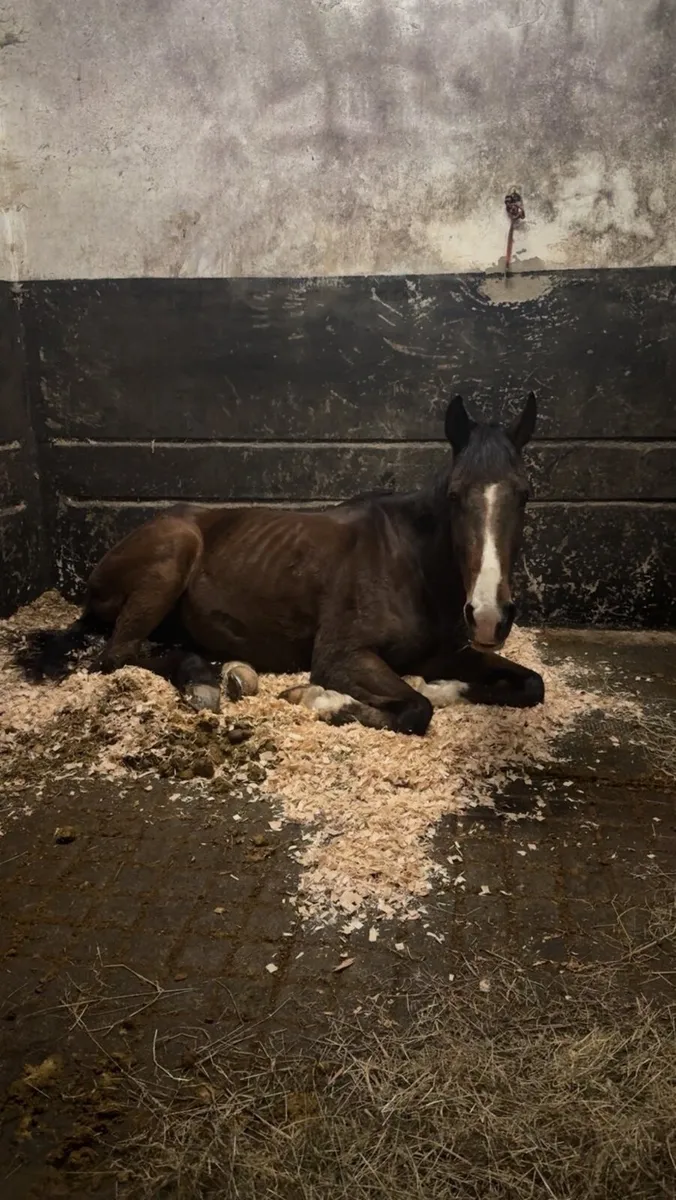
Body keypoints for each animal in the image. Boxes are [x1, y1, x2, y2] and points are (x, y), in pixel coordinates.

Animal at [19, 393, 544, 735]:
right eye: (455, 495)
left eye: (524, 493)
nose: (488, 616)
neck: (409, 564)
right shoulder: (340, 657)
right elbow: (415, 710)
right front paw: (321, 702)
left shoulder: (443, 653)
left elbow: (529, 685)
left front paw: (440, 688)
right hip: (170, 559)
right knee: (116, 654)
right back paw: (202, 680)